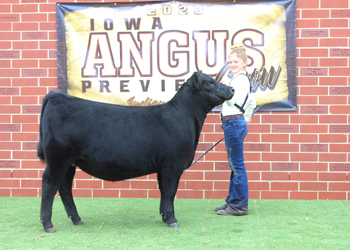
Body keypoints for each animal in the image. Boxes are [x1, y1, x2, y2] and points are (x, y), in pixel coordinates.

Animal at [37, 72, 235, 232]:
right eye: (209, 83)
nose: (232, 89)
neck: (185, 117)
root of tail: (57, 95)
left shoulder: (163, 167)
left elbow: (163, 190)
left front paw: (164, 216)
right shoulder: (173, 164)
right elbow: (170, 191)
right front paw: (172, 219)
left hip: (70, 162)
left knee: (64, 187)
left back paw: (77, 219)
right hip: (58, 158)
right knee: (49, 184)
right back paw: (48, 224)